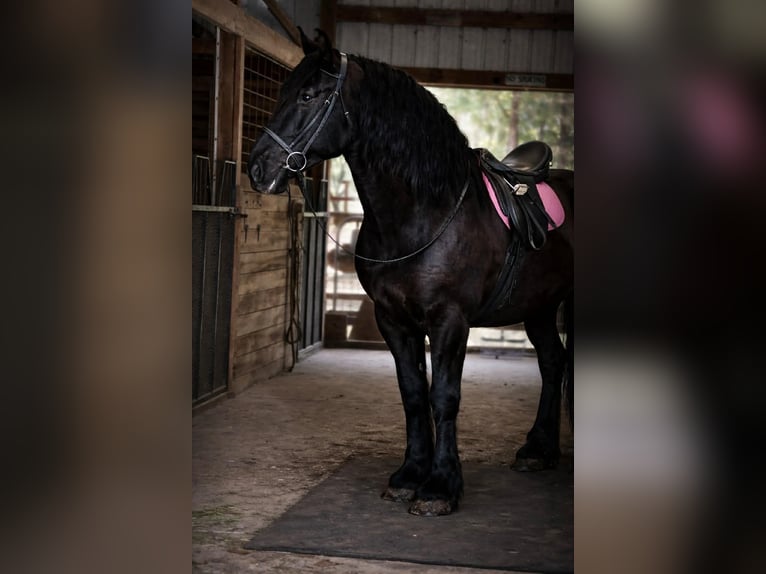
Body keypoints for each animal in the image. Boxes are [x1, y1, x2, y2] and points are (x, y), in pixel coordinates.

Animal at [248, 29, 573, 517]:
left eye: (308, 95)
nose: (257, 168)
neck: (425, 212)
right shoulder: (394, 320)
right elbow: (414, 392)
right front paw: (409, 476)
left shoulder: (449, 321)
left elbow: (444, 396)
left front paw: (440, 487)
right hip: (539, 308)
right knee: (553, 362)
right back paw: (538, 450)